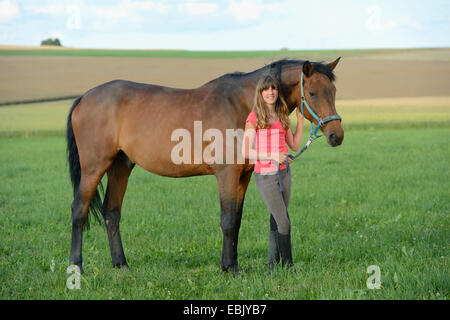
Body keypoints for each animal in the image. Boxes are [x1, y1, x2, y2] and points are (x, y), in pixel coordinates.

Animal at [66, 57, 342, 272]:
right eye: (313, 93)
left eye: (334, 92)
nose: (336, 136)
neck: (241, 104)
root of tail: (85, 97)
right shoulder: (227, 174)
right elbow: (227, 220)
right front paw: (230, 268)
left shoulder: (242, 176)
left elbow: (236, 220)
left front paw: (232, 264)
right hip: (94, 167)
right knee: (79, 210)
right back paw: (76, 266)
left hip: (121, 166)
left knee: (112, 212)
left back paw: (121, 264)